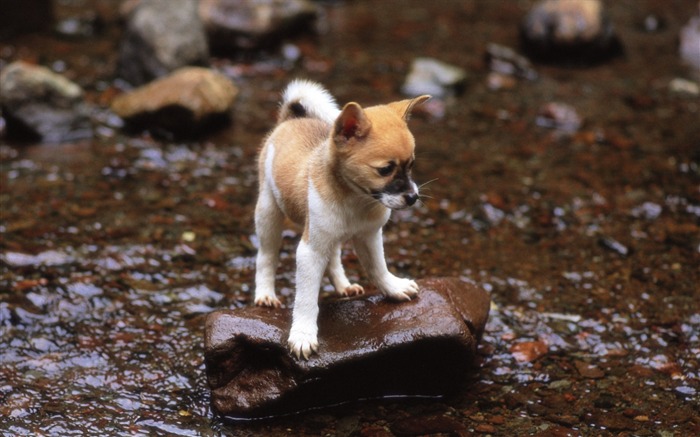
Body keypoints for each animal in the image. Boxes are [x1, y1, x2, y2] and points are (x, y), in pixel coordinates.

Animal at [252, 79, 426, 358]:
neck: (356, 200)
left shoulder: (369, 237)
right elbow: (306, 299)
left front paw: (393, 287)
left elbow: (378, 268)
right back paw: (266, 293)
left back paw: (344, 286)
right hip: (269, 213)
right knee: (266, 256)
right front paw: (303, 334)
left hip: (327, 234)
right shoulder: (310, 251)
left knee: (333, 257)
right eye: (385, 170)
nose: (413, 197)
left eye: (410, 165)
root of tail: (289, 119)